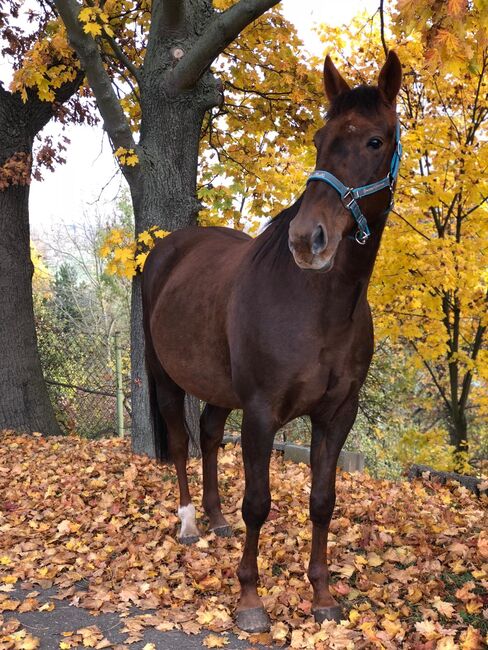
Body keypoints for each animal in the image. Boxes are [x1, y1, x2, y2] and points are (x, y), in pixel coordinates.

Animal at [143, 53, 402, 632]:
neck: (316, 308)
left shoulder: (337, 414)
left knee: (209, 434)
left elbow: (322, 500)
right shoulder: (262, 412)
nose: (309, 239)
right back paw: (190, 524)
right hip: (165, 375)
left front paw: (323, 597)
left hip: (218, 387)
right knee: (181, 442)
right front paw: (250, 602)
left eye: (375, 140)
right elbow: (258, 503)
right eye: (320, 137)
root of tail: (169, 249)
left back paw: (216, 519)